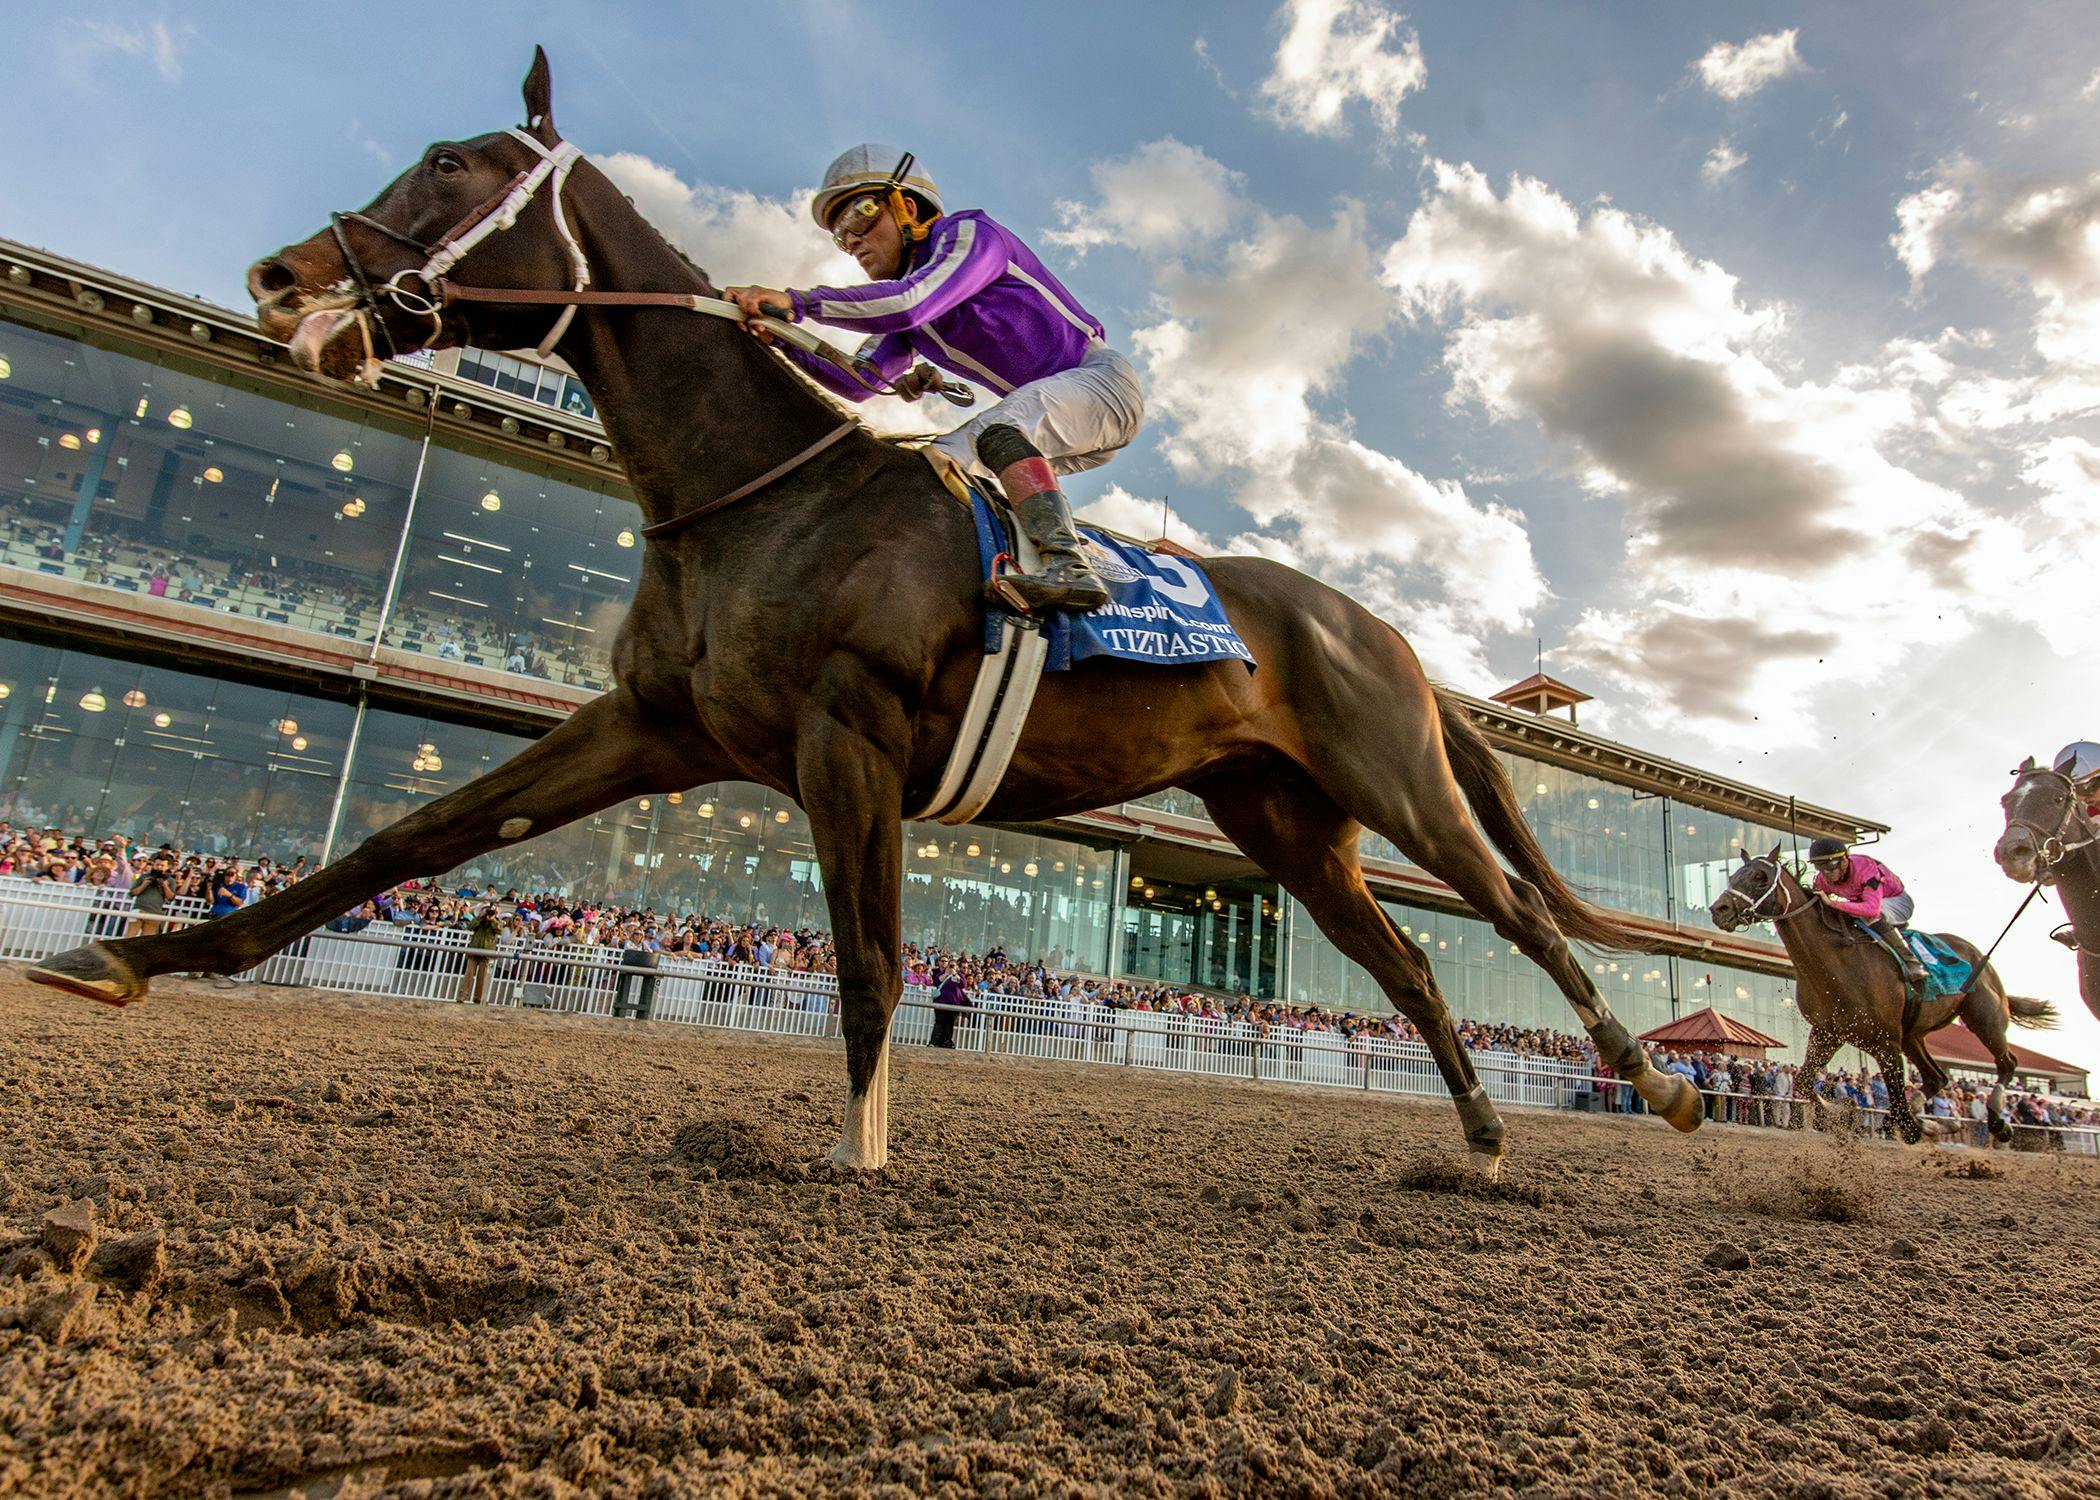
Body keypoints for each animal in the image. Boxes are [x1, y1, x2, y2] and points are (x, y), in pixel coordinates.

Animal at [26, 48, 1702, 1176]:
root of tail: (1385, 631)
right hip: (1283, 820)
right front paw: (139, 958)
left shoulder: (854, 736)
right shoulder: (653, 726)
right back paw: (1482, 1137)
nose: (279, 275)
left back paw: (1658, 1080)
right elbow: (412, 838)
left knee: (1513, 918)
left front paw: (860, 1151)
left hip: (1391, 779)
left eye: (451, 161)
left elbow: (873, 955)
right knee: (1412, 964)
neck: (756, 491)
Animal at [1709, 847, 2057, 1144]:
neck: (1834, 961)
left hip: (1983, 1018)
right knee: (1937, 1079)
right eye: (1732, 876)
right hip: (1913, 1034)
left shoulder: (1884, 1041)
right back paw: (1936, 1122)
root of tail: (1978, 955)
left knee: (2006, 1063)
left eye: (1760, 877)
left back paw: (1997, 1122)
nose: (1719, 909)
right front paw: (1838, 1115)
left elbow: (1897, 1099)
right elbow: (1806, 1079)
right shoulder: (1829, 1031)